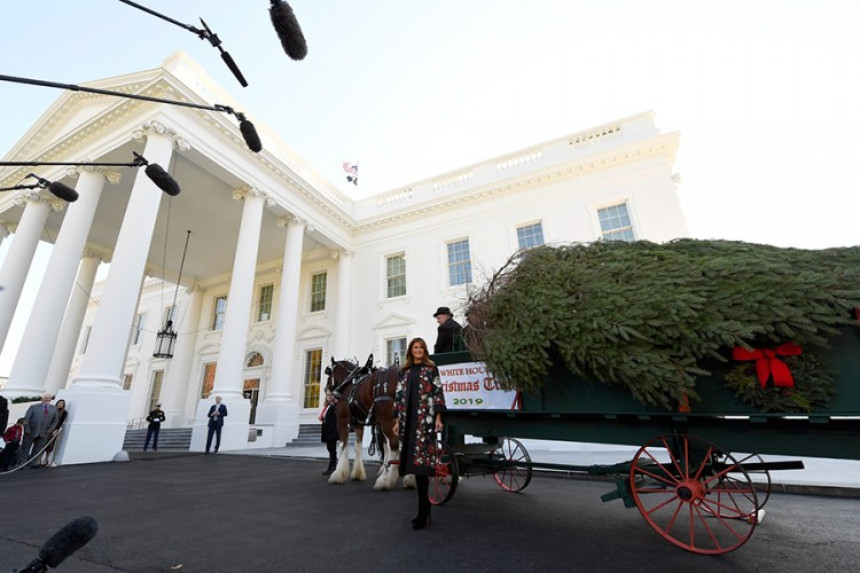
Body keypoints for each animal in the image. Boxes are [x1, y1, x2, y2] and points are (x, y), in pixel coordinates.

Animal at [324, 354, 402, 488]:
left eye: (329, 373)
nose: (327, 391)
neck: (348, 384)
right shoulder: (358, 424)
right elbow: (357, 447)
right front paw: (357, 473)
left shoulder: (342, 421)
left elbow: (342, 446)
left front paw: (338, 474)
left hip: (387, 420)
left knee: (394, 444)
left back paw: (386, 480)